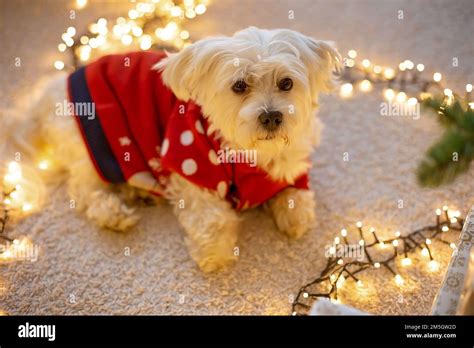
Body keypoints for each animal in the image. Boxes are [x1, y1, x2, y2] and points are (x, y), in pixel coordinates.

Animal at [18, 27, 340, 272]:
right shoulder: (187, 159)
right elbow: (212, 216)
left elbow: (296, 195)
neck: (249, 152)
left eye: (286, 83)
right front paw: (214, 253)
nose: (271, 116)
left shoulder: (293, 166)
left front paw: (293, 215)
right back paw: (113, 212)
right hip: (97, 145)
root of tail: (48, 94)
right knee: (84, 188)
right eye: (239, 86)